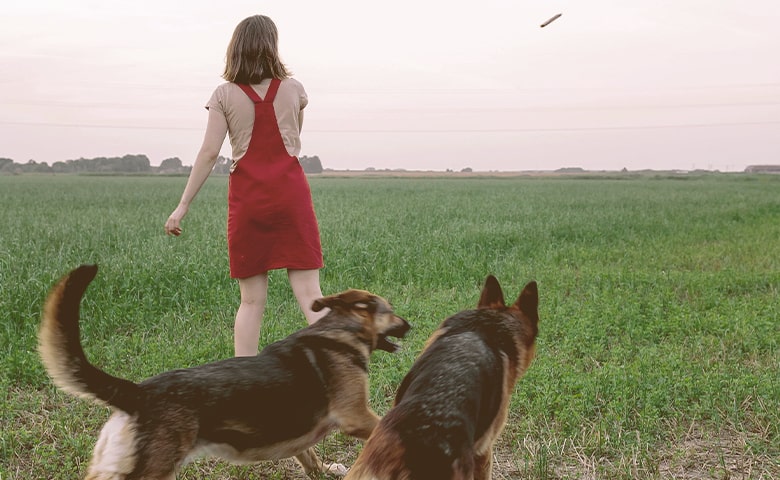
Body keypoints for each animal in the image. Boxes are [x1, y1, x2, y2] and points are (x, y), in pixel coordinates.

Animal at [39, 264, 412, 478]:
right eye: (391, 310)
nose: (410, 325)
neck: (340, 330)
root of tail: (137, 393)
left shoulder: (300, 434)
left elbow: (311, 460)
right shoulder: (356, 416)